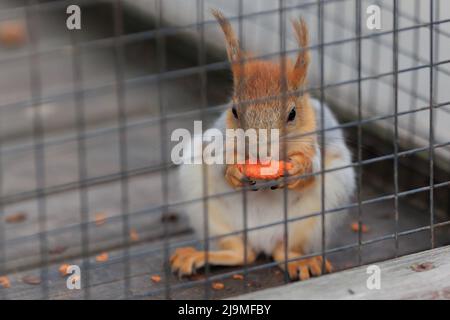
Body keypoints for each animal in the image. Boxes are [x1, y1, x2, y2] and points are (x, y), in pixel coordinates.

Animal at [170, 9, 356, 280]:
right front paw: (233, 171)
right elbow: (217, 158)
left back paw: (301, 261)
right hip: (205, 201)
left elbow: (313, 164)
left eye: (292, 114)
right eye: (234, 111)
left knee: (284, 250)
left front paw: (299, 169)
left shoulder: (315, 138)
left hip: (323, 206)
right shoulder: (220, 136)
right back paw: (200, 256)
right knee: (241, 252)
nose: (261, 154)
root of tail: (263, 239)